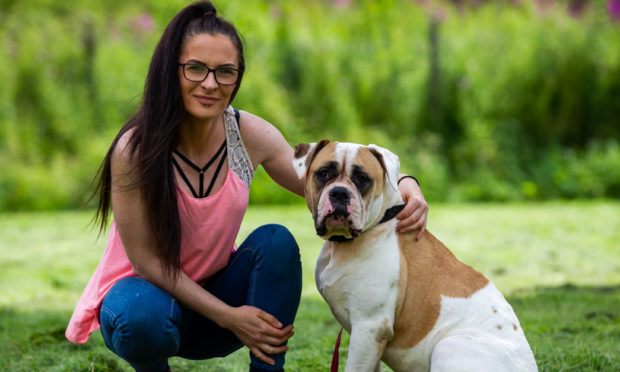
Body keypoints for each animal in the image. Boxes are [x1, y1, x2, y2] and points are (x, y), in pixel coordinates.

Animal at [292, 140, 536, 372]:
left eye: (362, 178)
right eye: (324, 173)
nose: (340, 193)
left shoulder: (369, 327)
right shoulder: (369, 342)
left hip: (447, 346)